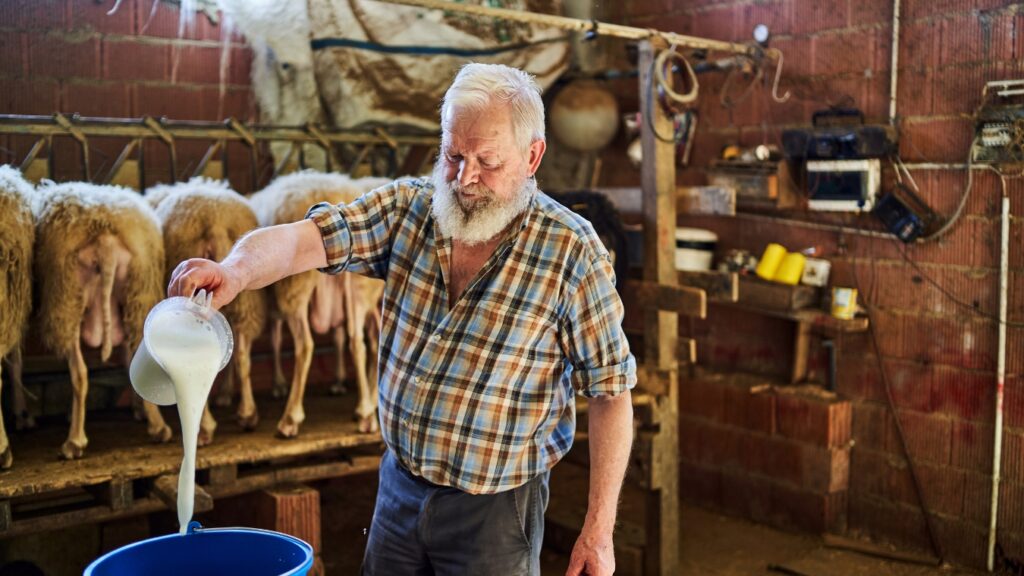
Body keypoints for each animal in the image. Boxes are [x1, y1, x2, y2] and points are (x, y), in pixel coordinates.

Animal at [32, 179, 172, 457]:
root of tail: (106, 239)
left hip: (67, 297)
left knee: (79, 373)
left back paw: (74, 441)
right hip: (136, 295)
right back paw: (158, 427)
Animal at [148, 176, 270, 444]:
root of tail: (214, 219)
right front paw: (226, 395)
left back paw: (203, 428)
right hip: (245, 302)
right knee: (242, 356)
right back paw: (248, 414)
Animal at [249, 170, 385, 434]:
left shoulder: (276, 304)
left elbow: (275, 339)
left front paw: (278, 384)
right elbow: (339, 337)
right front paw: (338, 380)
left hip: (296, 288)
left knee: (305, 345)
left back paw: (290, 418)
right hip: (359, 290)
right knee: (360, 341)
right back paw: (366, 410)